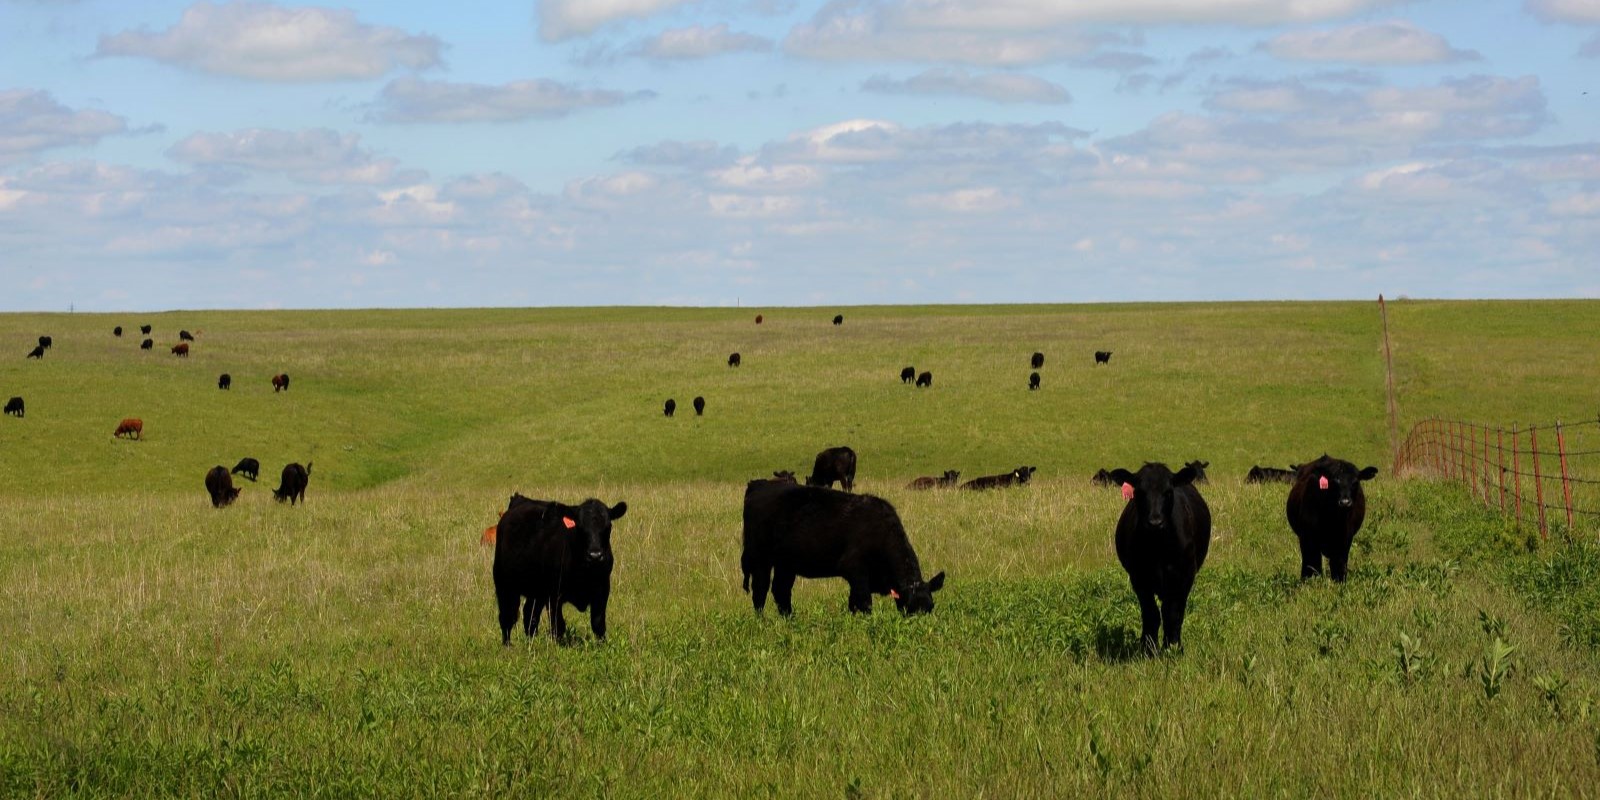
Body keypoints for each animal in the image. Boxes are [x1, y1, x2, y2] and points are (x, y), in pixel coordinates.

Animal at [492, 492, 624, 643]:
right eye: (579, 527)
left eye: (608, 526)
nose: (595, 555)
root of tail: (519, 500)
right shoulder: (554, 594)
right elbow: (558, 625)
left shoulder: (602, 589)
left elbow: (598, 624)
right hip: (504, 583)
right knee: (507, 617)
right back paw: (507, 645)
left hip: (536, 591)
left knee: (530, 614)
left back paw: (532, 642)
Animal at [742, 480, 940, 617]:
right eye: (909, 608)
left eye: (931, 607)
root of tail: (758, 485)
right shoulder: (856, 571)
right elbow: (865, 603)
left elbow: (853, 604)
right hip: (760, 558)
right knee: (760, 590)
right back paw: (762, 620)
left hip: (786, 564)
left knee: (781, 591)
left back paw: (790, 619)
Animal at [1113, 464, 1209, 656]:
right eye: (1139, 492)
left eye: (1168, 492)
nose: (1155, 522)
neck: (1158, 545)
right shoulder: (1139, 578)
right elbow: (1151, 613)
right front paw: (1148, 648)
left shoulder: (1184, 576)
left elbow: (1173, 613)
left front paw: (1173, 647)